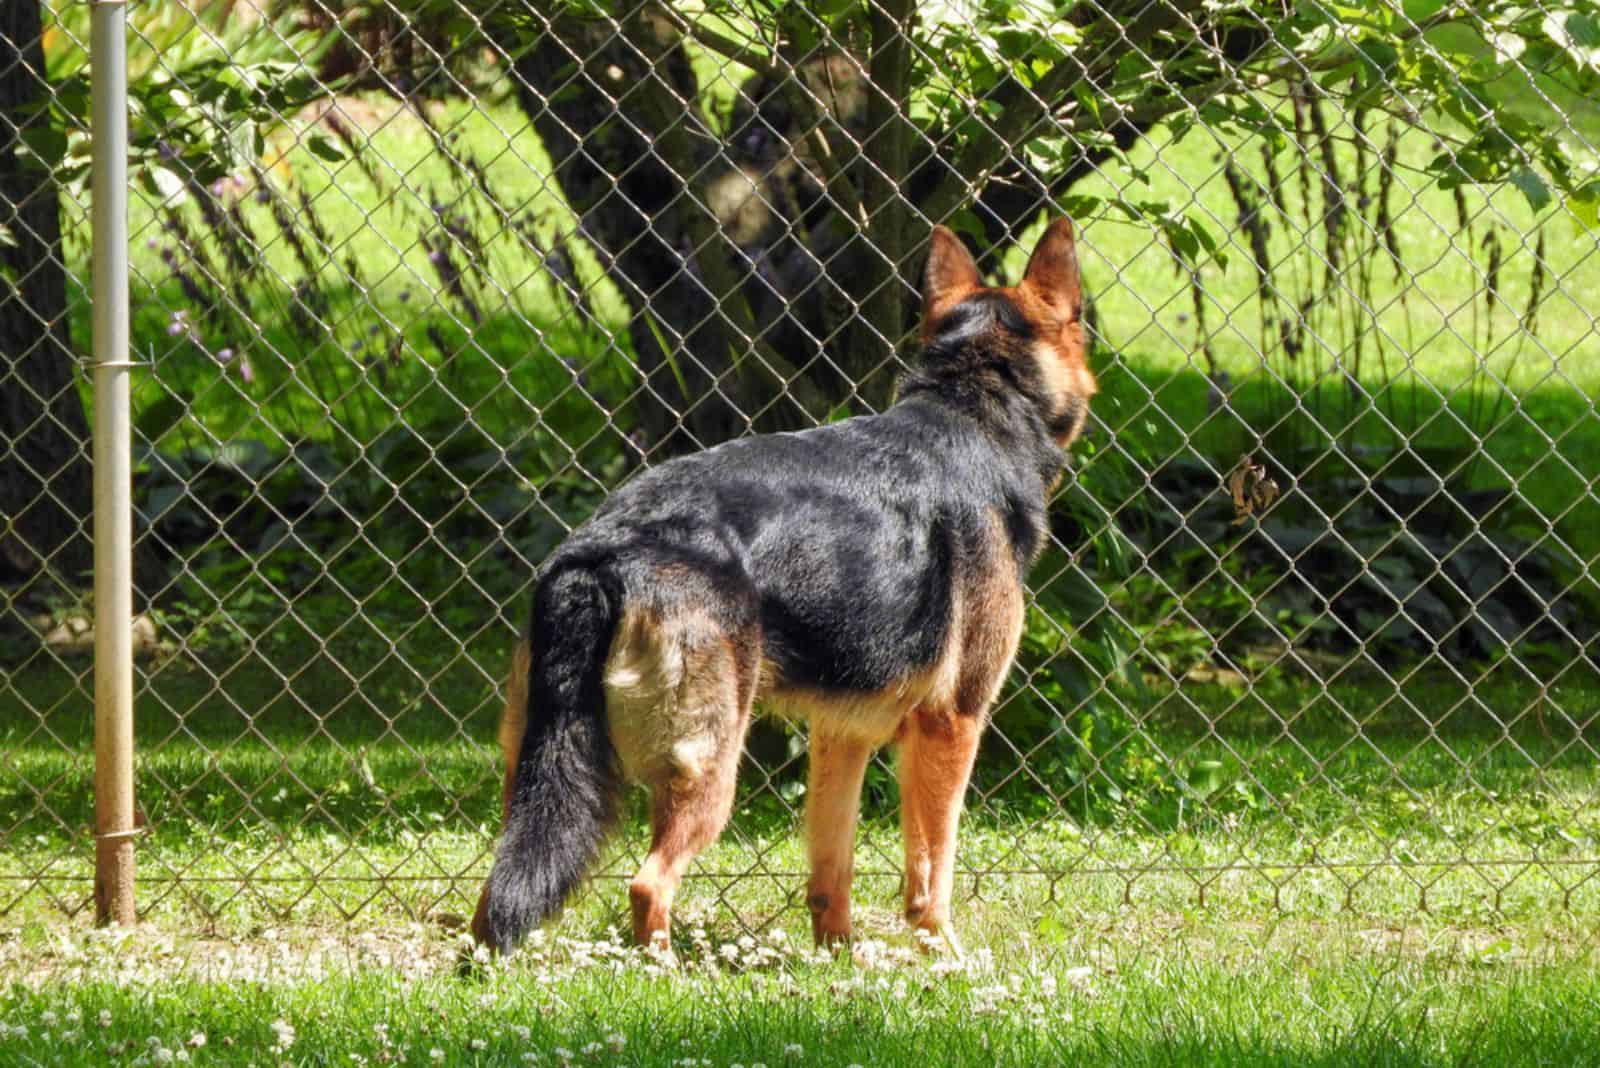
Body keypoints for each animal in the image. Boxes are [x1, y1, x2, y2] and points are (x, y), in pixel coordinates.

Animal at [473, 220, 1094, 952]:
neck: (974, 404)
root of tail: (599, 550)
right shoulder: (952, 724)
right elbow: (930, 872)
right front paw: (946, 959)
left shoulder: (841, 735)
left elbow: (832, 867)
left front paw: (840, 958)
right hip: (712, 768)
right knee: (647, 884)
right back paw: (660, 967)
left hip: (536, 777)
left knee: (502, 889)